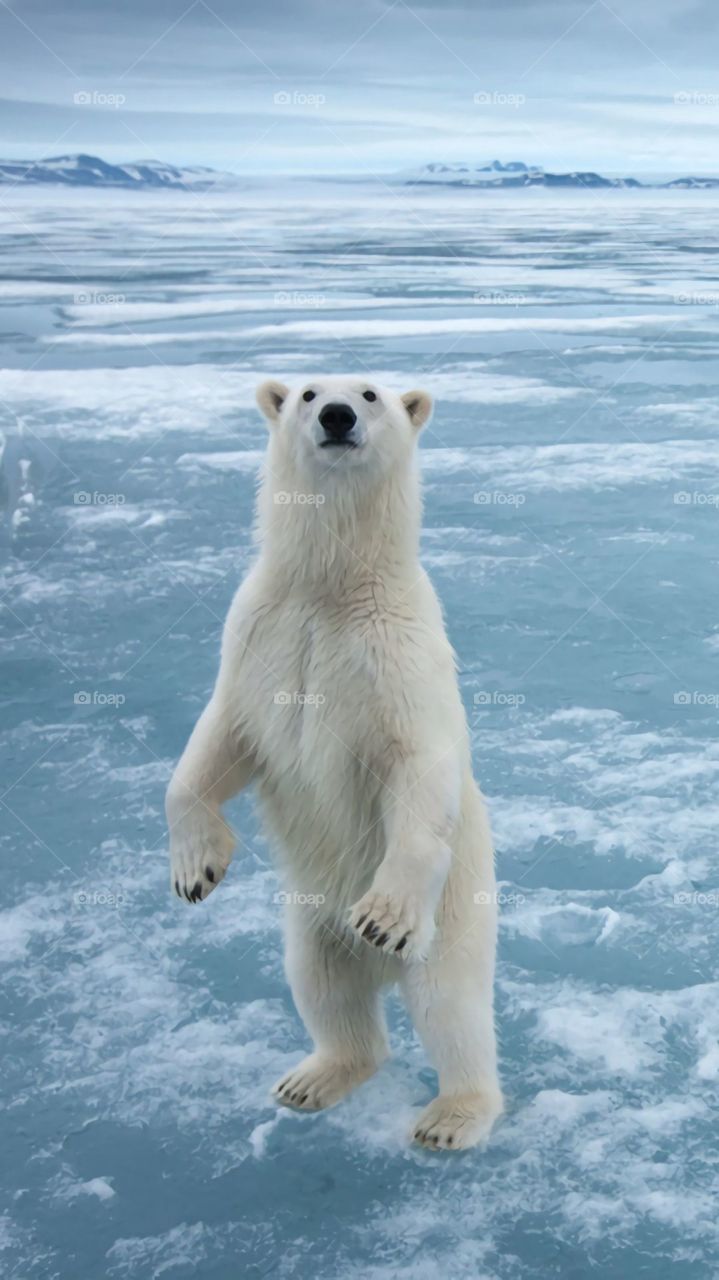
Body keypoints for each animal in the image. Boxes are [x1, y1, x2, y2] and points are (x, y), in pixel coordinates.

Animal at [165, 376, 501, 1152]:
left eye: (371, 393)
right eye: (308, 391)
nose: (338, 416)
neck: (331, 587)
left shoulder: (397, 655)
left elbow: (418, 766)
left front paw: (382, 915)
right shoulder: (259, 635)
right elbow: (218, 742)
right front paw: (196, 870)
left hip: (456, 915)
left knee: (451, 1007)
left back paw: (452, 1115)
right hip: (309, 921)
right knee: (323, 988)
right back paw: (312, 1078)